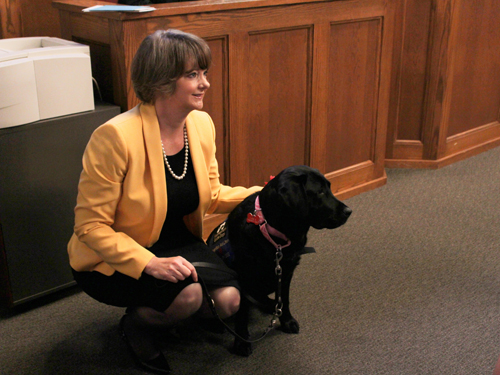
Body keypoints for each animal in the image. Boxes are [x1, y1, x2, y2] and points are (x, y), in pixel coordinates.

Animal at [227, 166, 352, 356]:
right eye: (320, 191)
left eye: (329, 188)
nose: (348, 211)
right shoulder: (243, 277)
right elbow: (242, 310)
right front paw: (241, 341)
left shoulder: (286, 273)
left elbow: (284, 299)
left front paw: (287, 321)